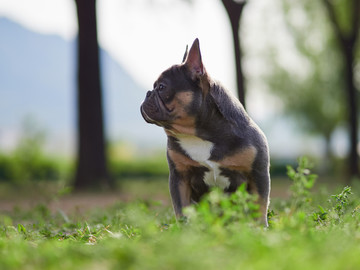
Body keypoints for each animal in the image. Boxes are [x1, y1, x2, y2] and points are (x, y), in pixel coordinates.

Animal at [141, 37, 270, 224]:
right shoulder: (179, 177)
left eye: (162, 87)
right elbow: (181, 207)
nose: (148, 93)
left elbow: (260, 205)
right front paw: (184, 227)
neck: (198, 135)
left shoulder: (257, 174)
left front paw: (259, 227)